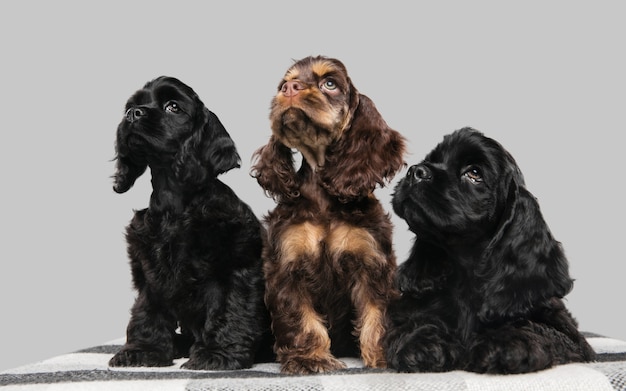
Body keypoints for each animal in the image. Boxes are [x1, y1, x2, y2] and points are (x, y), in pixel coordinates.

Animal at [109, 76, 268, 370]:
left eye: (173, 107)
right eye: (132, 105)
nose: (132, 114)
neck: (174, 204)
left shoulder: (235, 267)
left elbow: (228, 309)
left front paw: (218, 354)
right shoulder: (150, 272)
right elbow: (146, 312)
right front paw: (143, 350)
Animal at [251, 54, 408, 374]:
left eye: (330, 83)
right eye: (284, 83)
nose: (289, 89)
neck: (323, 194)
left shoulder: (372, 263)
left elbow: (377, 313)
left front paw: (382, 357)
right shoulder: (287, 264)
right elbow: (301, 318)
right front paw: (309, 359)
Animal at [382, 128, 592, 374]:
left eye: (474, 173)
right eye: (431, 159)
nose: (416, 171)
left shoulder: (574, 341)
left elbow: (543, 330)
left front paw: (508, 342)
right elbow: (412, 324)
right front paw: (422, 343)